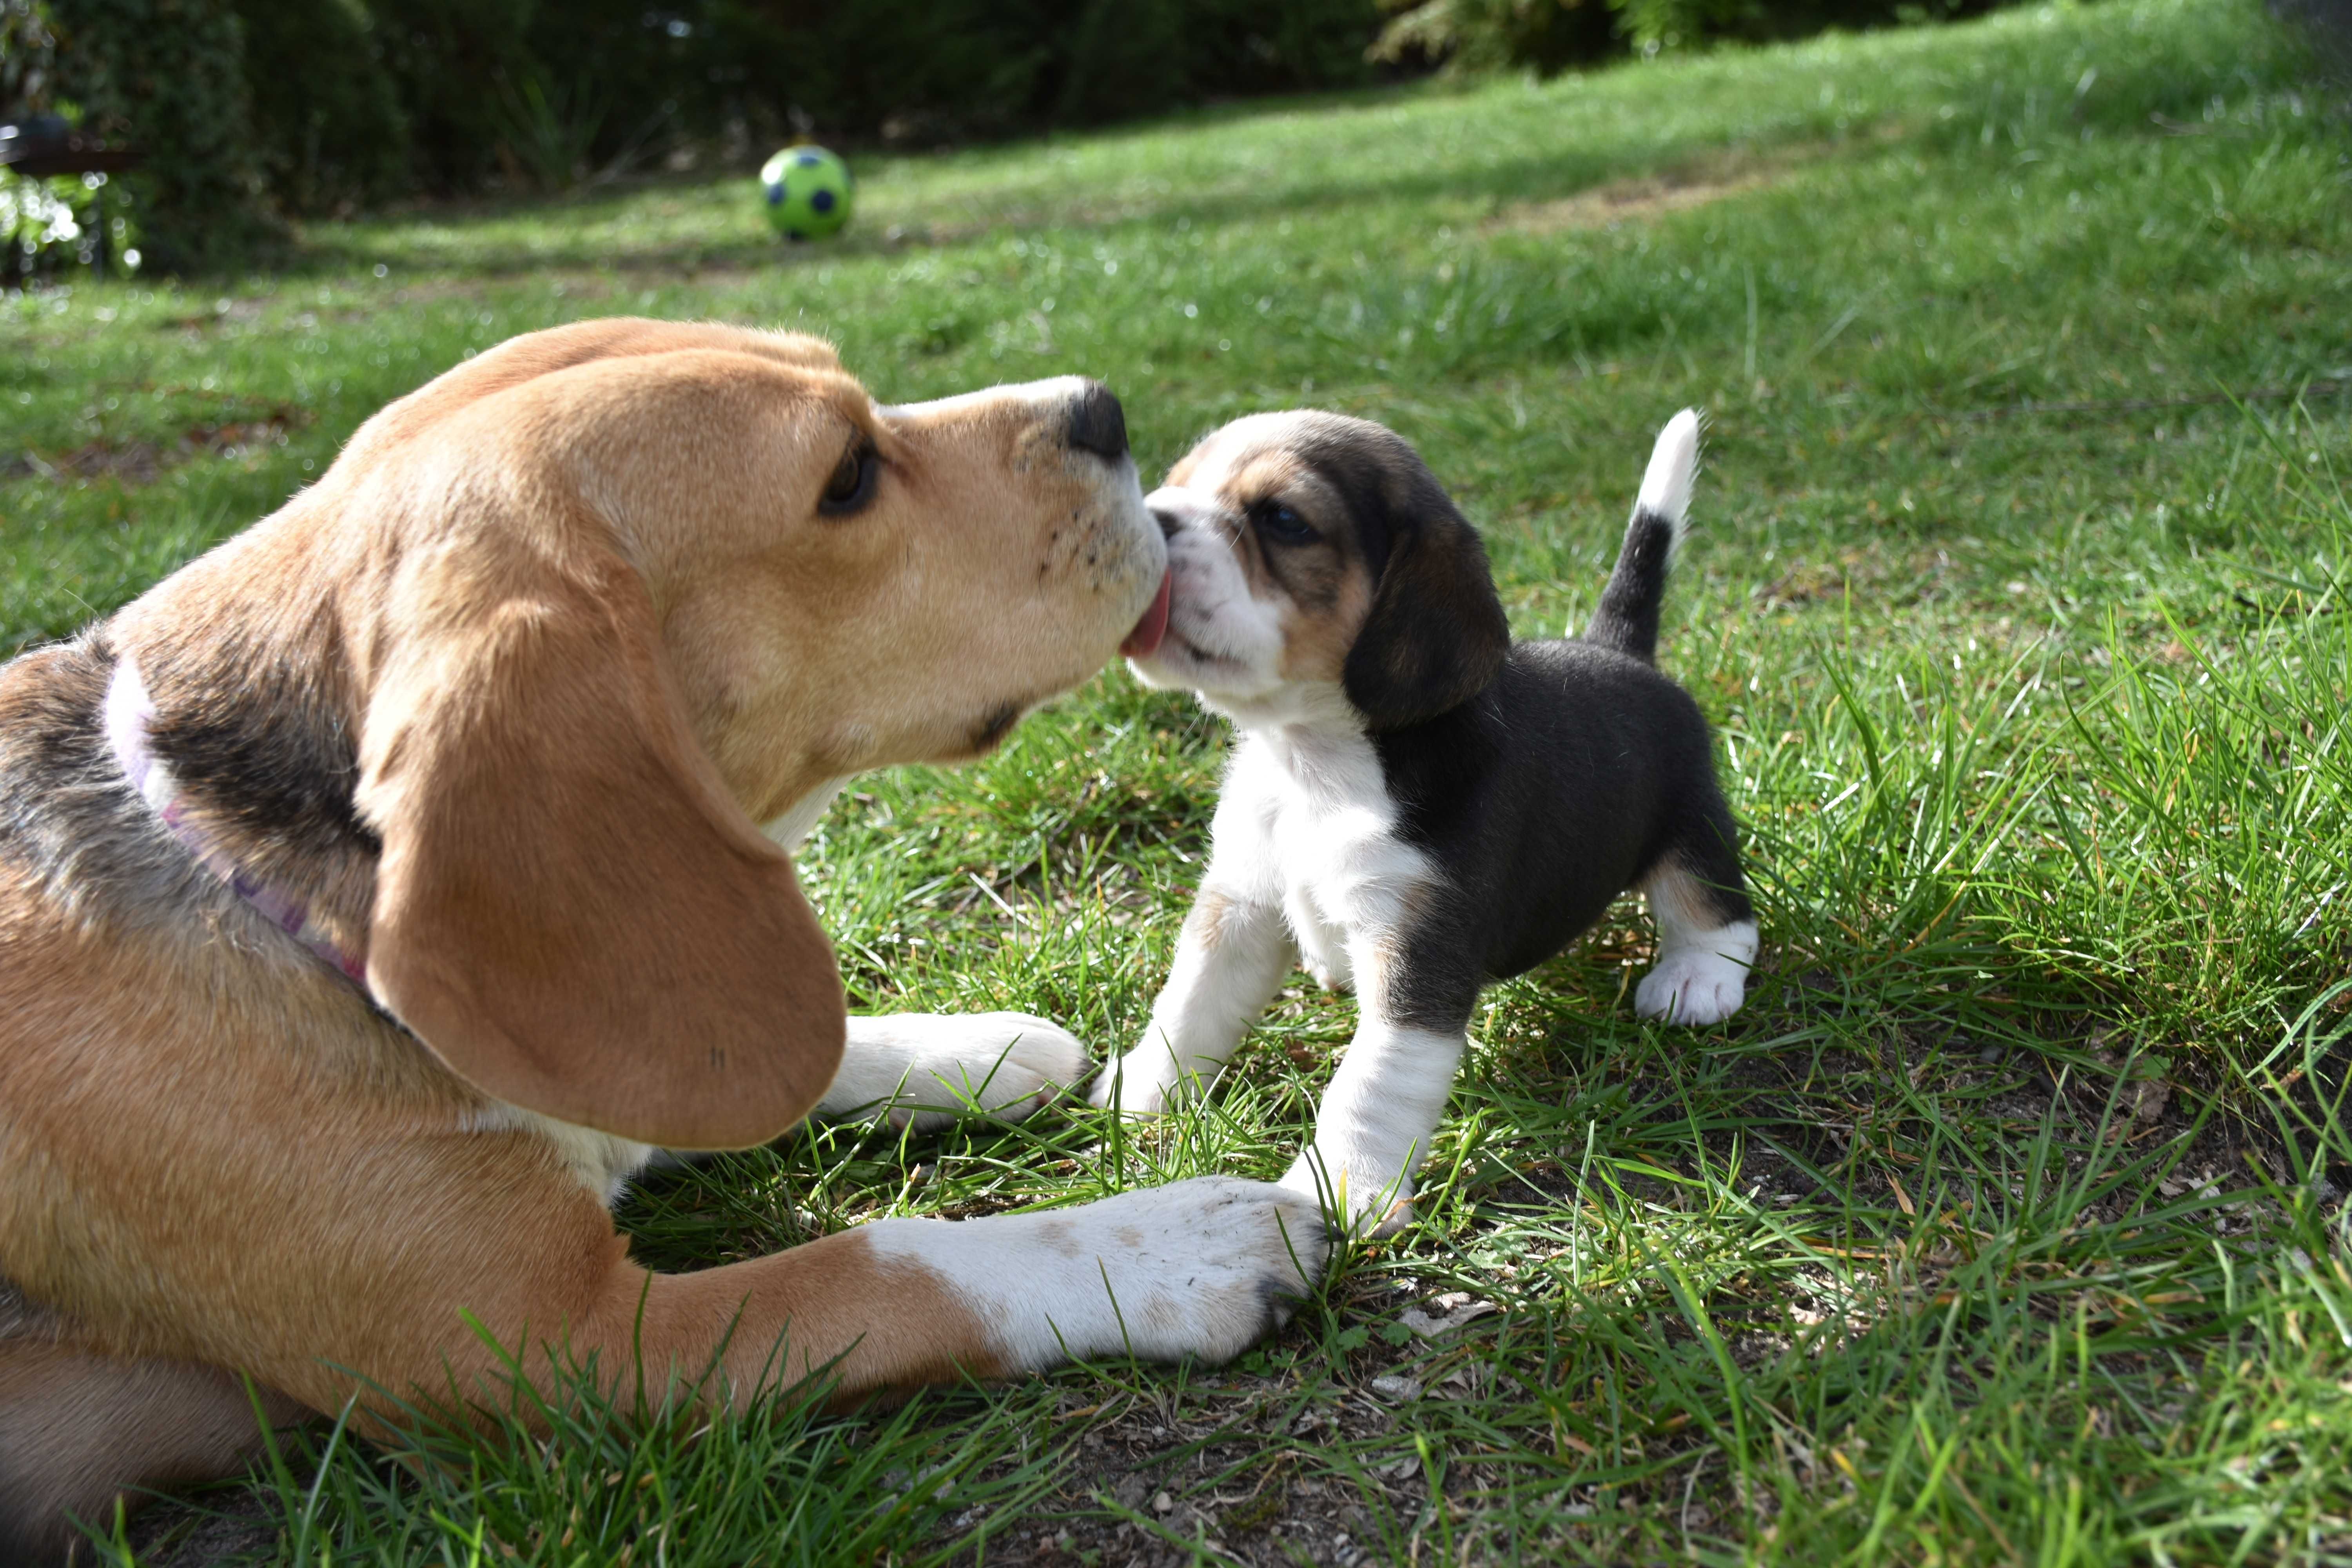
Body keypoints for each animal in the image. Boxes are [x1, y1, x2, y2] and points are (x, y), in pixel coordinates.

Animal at [0, 315, 1327, 1561]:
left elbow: (764, 1060)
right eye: (847, 475)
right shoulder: (557, 1357)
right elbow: (888, 1261)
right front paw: (1164, 1246)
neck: (242, 866)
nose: (1100, 410)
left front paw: (976, 1051)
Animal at [1091, 414, 1759, 1241]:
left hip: (1691, 824)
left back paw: (1697, 979)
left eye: (1283, 519)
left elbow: (1369, 1089)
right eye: (1170, 484)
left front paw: (1340, 1193)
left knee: (1717, 910)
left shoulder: (1417, 949)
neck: (1316, 761)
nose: (1141, 525)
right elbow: (1186, 1008)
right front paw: (1141, 1094)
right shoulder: (1240, 905)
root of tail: (1616, 648)